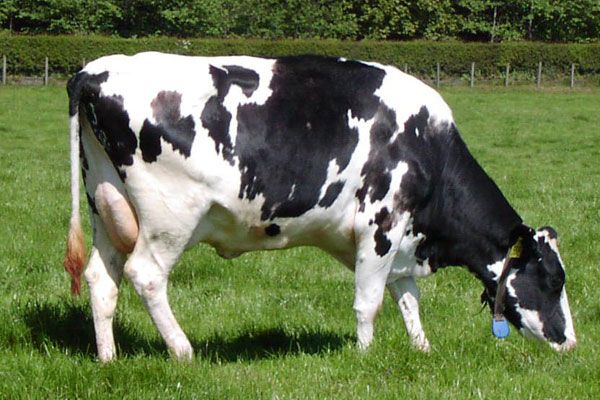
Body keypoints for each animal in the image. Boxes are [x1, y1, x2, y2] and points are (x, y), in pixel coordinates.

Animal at [64, 51, 576, 360]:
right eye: (553, 281)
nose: (570, 342)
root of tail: (95, 71)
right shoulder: (381, 226)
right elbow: (370, 302)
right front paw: (366, 357)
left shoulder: (403, 240)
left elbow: (409, 299)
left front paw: (422, 350)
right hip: (170, 215)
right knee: (146, 275)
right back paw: (183, 351)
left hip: (106, 205)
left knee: (101, 279)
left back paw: (108, 358)